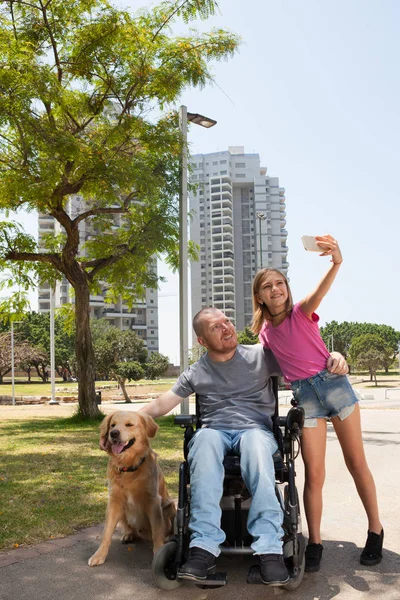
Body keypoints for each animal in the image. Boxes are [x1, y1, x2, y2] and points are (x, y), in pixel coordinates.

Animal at [88, 410, 176, 564]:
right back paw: (129, 535)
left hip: (169, 507)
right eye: (112, 425)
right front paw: (99, 555)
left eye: (129, 425)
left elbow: (157, 531)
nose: (113, 433)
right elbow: (107, 532)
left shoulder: (153, 500)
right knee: (130, 529)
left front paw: (159, 552)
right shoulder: (114, 501)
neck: (128, 467)